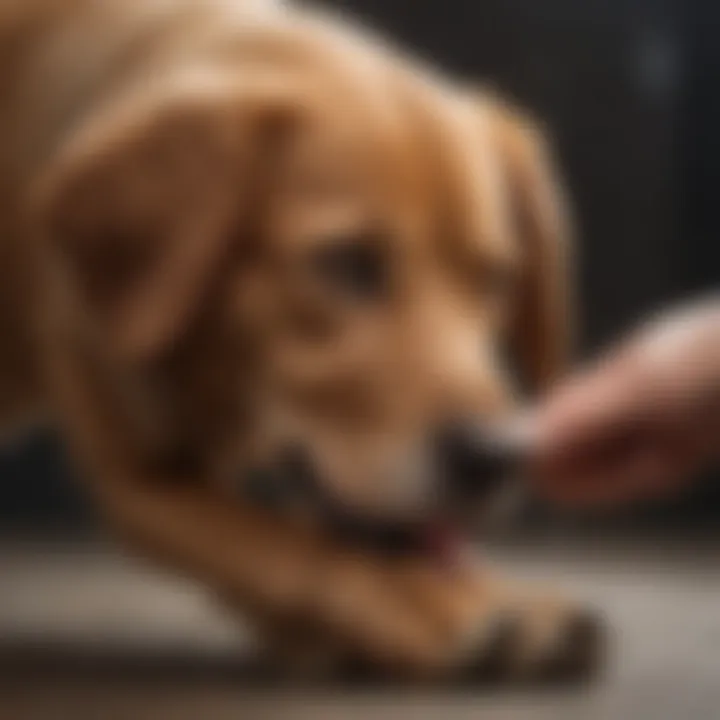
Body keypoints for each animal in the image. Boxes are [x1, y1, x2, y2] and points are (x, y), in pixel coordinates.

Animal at [0, 0, 600, 680]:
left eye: (495, 276)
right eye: (348, 262)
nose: (496, 457)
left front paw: (484, 599)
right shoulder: (142, 472)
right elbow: (290, 546)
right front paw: (439, 608)